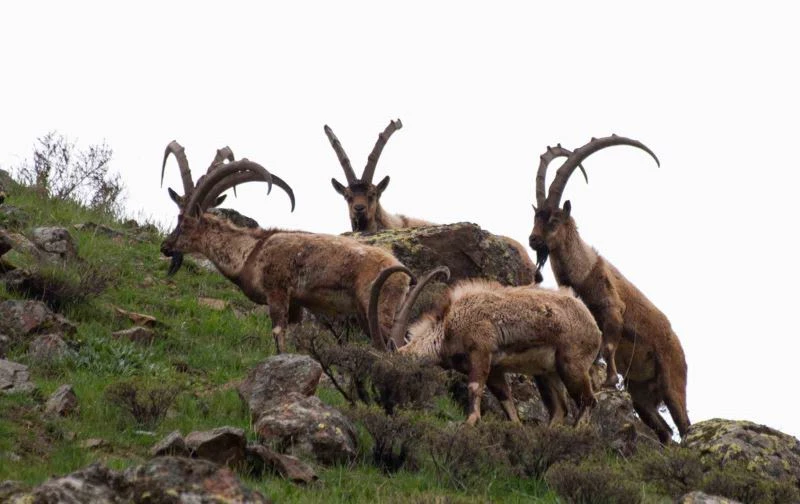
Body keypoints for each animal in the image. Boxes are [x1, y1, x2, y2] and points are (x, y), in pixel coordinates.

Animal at [159, 146, 416, 352]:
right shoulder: (296, 306)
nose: (165, 246)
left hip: (379, 307)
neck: (250, 252)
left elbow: (278, 337)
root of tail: (402, 273)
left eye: (184, 224)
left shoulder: (278, 293)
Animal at [372, 266, 604, 428]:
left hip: (571, 365)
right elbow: (506, 401)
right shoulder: (495, 370)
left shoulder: (480, 352)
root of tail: (594, 326)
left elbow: (474, 388)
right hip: (546, 373)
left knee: (588, 401)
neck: (448, 329)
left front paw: (469, 422)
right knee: (560, 409)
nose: (387, 398)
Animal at [528, 134, 692, 440]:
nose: (533, 240)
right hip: (642, 394)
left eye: (554, 219)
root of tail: (680, 349)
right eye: (535, 218)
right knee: (664, 430)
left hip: (673, 381)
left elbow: (608, 346)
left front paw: (610, 380)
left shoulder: (613, 310)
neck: (582, 273)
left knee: (684, 423)